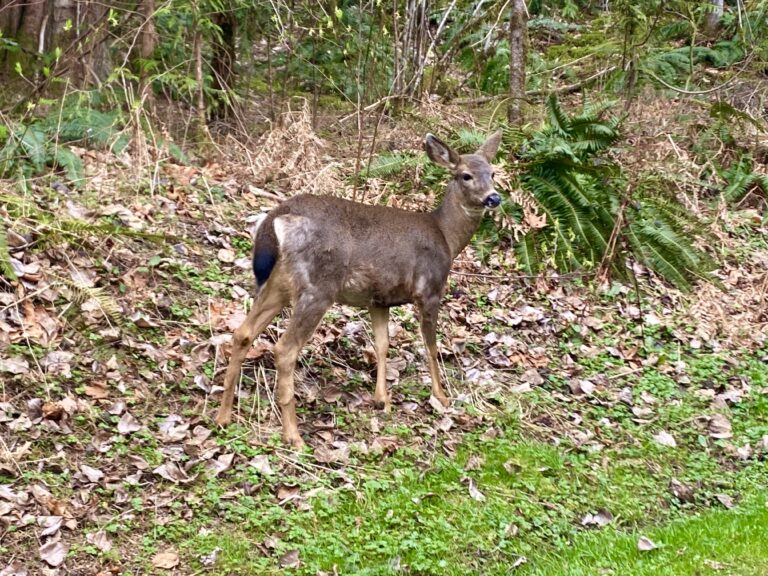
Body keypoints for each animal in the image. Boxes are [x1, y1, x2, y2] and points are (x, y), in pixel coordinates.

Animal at [214, 133, 504, 448]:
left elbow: (382, 345)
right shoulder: (430, 289)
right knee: (284, 350)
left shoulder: (378, 300)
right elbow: (430, 346)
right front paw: (441, 396)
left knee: (242, 333)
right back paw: (293, 436)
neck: (447, 237)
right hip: (318, 286)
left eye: (492, 173)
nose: (494, 198)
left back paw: (223, 416)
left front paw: (382, 401)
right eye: (465, 175)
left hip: (278, 284)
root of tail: (276, 218)